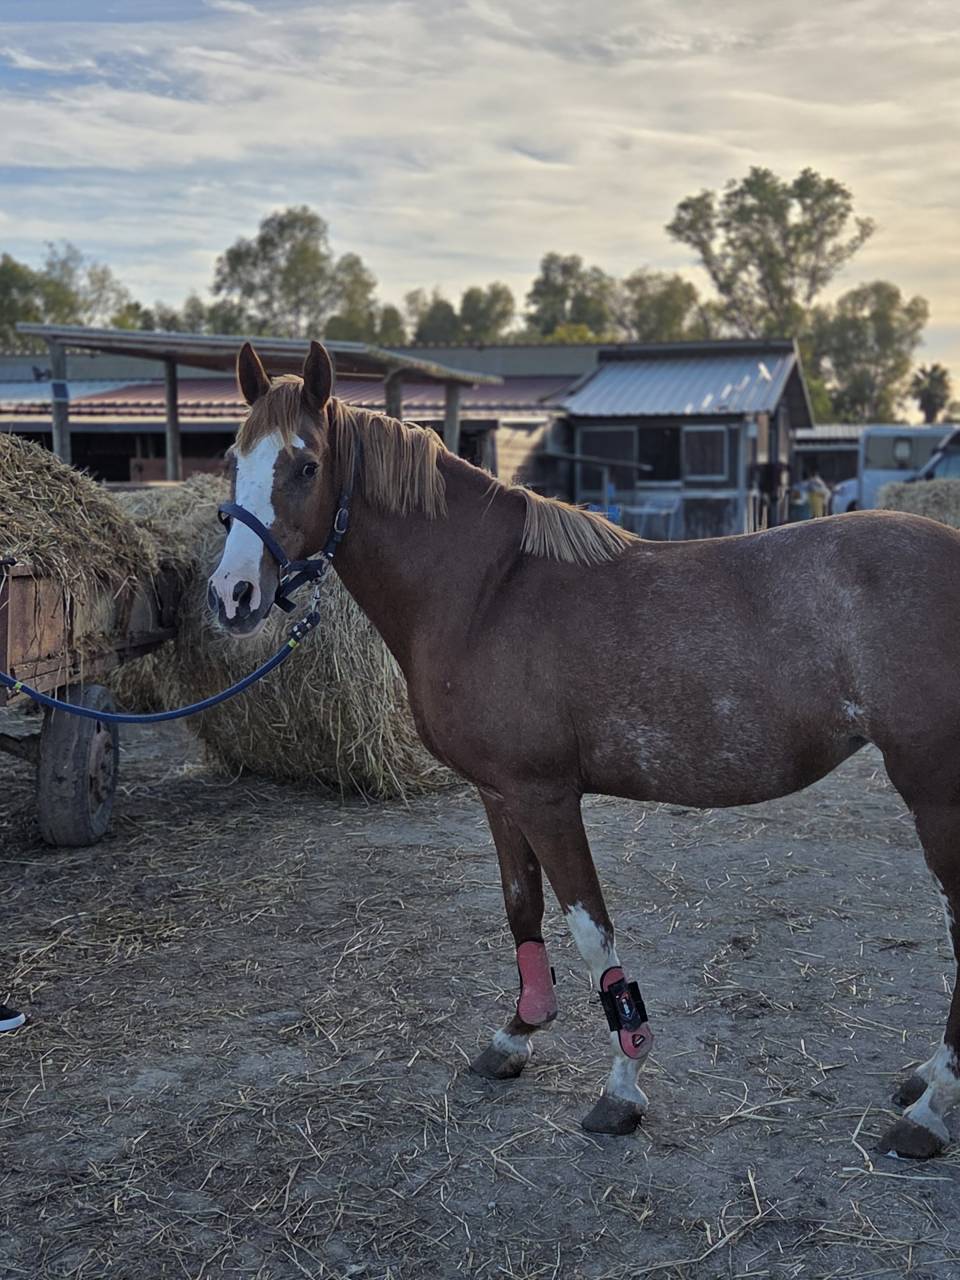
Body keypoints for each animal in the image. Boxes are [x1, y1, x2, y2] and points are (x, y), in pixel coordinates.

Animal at [208, 340, 960, 1158]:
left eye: (306, 465)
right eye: (233, 457)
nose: (231, 595)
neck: (485, 593)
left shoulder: (547, 796)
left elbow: (593, 936)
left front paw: (622, 1089)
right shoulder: (500, 794)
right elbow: (522, 912)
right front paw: (516, 1036)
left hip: (937, 794)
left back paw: (927, 1114)